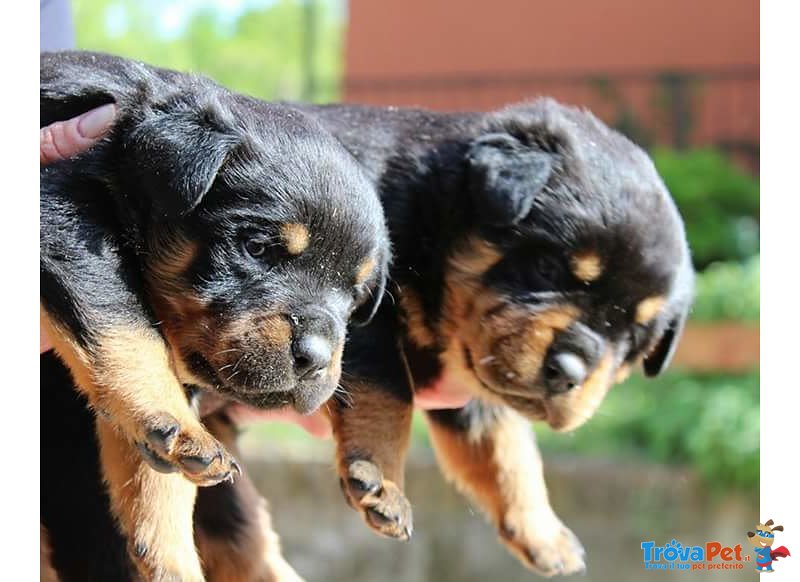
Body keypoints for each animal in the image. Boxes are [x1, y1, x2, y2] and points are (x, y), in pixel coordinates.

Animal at [39, 51, 388, 582]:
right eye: (256, 247)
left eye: (356, 294)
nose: (315, 358)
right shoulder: (61, 208)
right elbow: (121, 319)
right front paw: (174, 422)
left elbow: (155, 476)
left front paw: (168, 547)